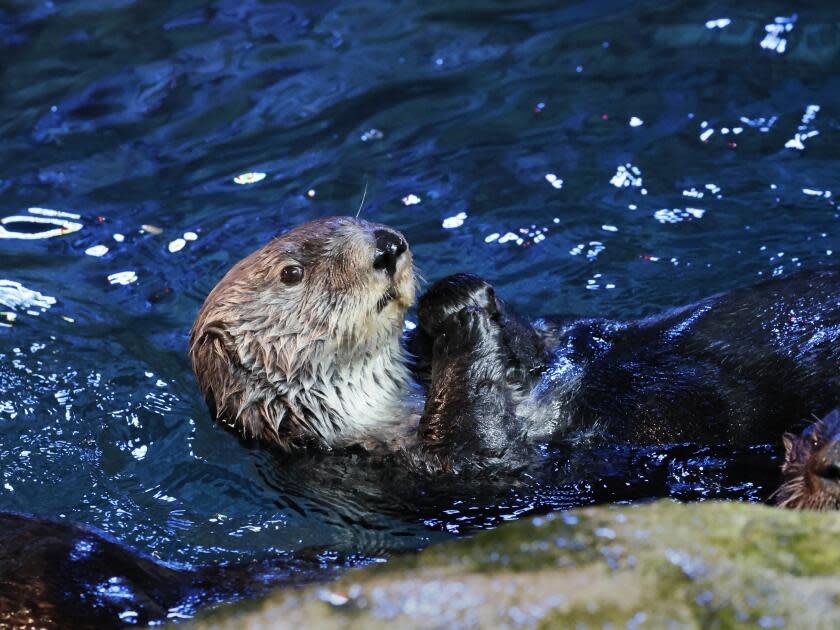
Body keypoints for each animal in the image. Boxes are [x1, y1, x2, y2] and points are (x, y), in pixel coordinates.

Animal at [190, 217, 840, 470]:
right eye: (292, 273)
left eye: (355, 222)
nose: (387, 247)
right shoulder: (428, 469)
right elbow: (483, 441)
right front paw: (456, 312)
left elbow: (551, 339)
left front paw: (456, 299)